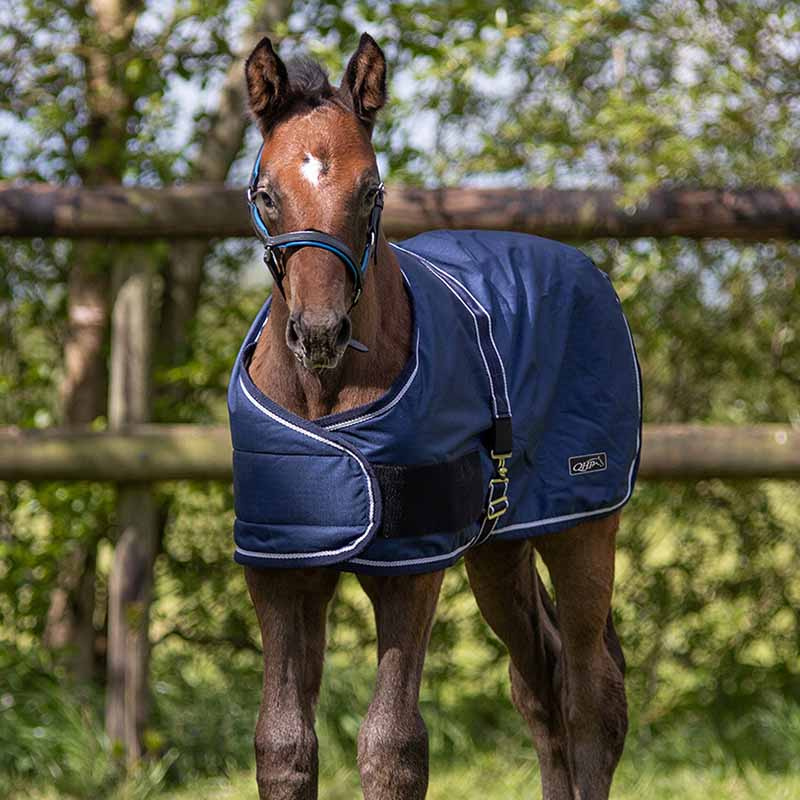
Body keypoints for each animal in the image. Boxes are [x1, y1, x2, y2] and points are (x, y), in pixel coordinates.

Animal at [233, 33, 637, 800]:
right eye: (266, 194)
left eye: (371, 190)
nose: (320, 334)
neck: (325, 402)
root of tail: (582, 267)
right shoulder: (282, 563)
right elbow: (282, 743)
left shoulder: (410, 567)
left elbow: (393, 745)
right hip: (499, 547)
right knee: (540, 685)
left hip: (582, 523)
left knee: (591, 695)